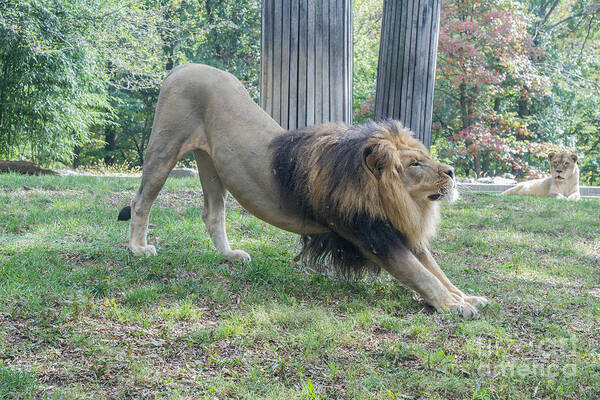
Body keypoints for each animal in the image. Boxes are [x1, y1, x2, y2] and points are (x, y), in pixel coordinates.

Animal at [117, 62, 488, 318]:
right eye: (414, 164)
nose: (452, 171)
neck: (399, 201)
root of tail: (181, 66)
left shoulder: (397, 230)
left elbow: (437, 271)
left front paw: (465, 296)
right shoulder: (372, 235)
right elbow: (420, 275)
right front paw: (453, 306)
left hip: (211, 163)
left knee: (212, 212)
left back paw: (229, 255)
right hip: (165, 147)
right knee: (141, 201)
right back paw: (138, 248)